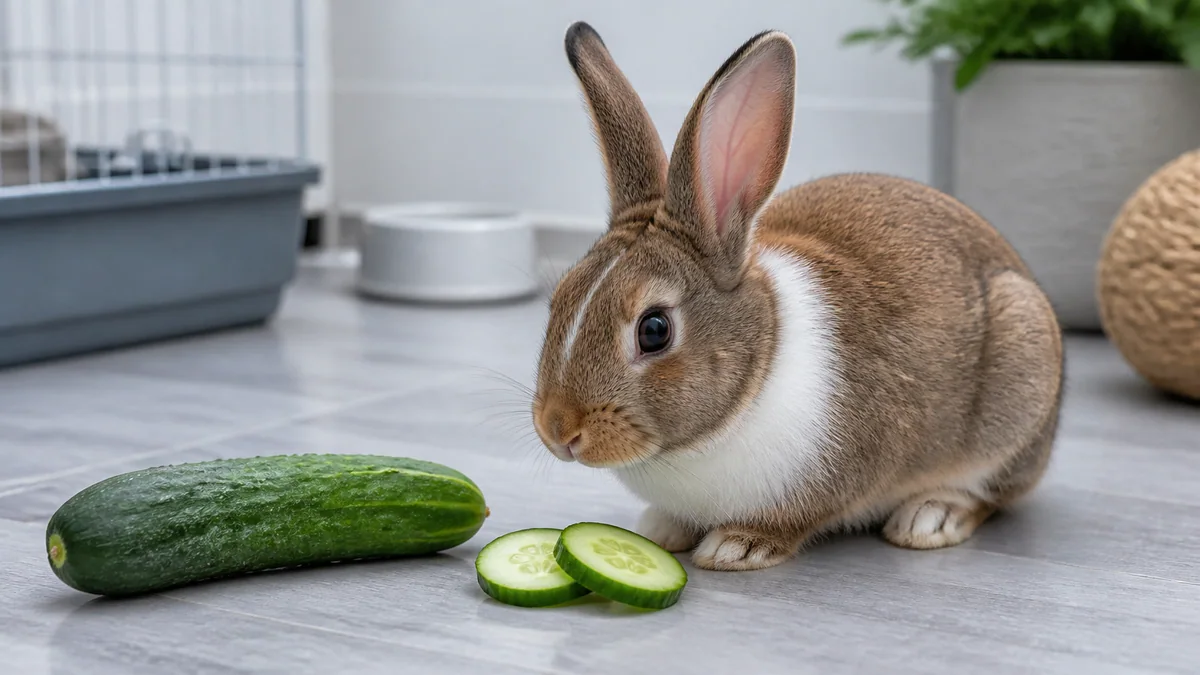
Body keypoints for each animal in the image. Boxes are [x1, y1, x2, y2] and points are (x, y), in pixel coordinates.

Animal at [531, 22, 1064, 571]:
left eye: (654, 330)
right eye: (560, 300)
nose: (558, 430)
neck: (757, 372)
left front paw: (736, 547)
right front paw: (661, 530)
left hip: (1014, 396)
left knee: (993, 493)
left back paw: (930, 518)